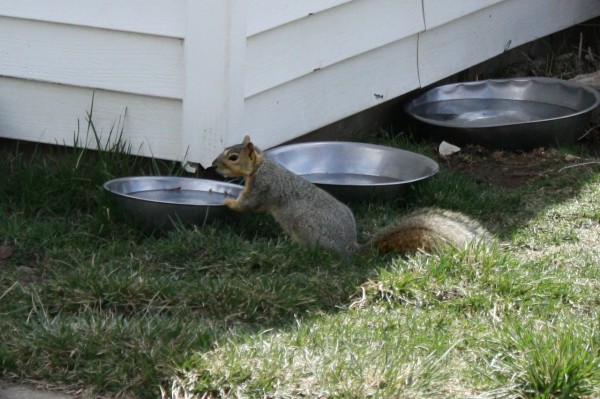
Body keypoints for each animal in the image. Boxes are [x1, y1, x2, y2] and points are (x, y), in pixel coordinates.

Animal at [212, 136, 492, 258]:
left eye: (233, 157)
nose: (214, 165)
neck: (261, 166)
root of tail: (348, 246)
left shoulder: (263, 186)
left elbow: (249, 204)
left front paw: (228, 202)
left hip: (306, 225)